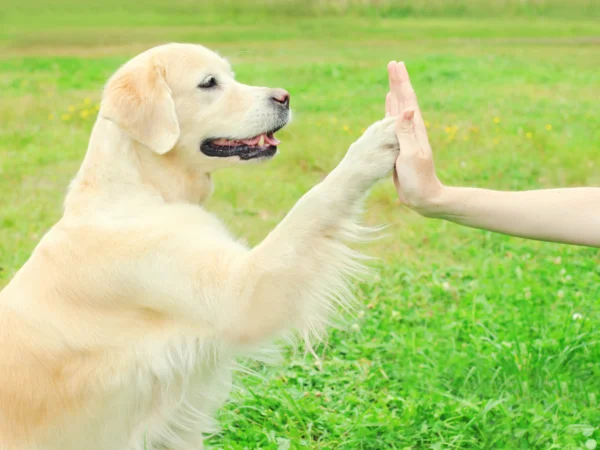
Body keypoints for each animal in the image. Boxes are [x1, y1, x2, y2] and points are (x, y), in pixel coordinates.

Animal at [2, 43, 400, 450]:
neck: (141, 187)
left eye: (232, 76)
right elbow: (313, 204)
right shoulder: (242, 295)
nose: (285, 97)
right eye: (209, 83)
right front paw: (371, 147)